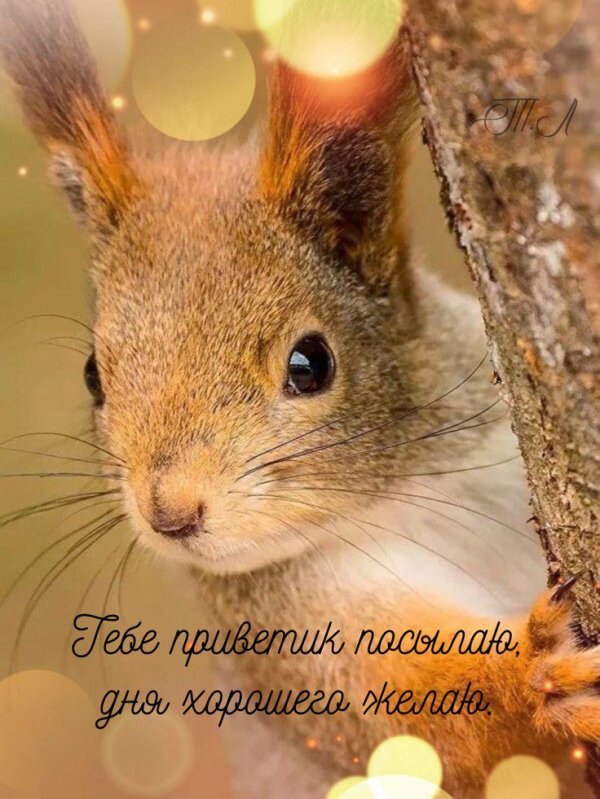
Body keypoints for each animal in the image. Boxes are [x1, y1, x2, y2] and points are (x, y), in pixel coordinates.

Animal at [1, 1, 599, 797]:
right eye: (95, 374)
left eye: (310, 364)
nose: (170, 514)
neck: (399, 496)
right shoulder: (300, 646)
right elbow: (440, 727)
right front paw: (539, 673)